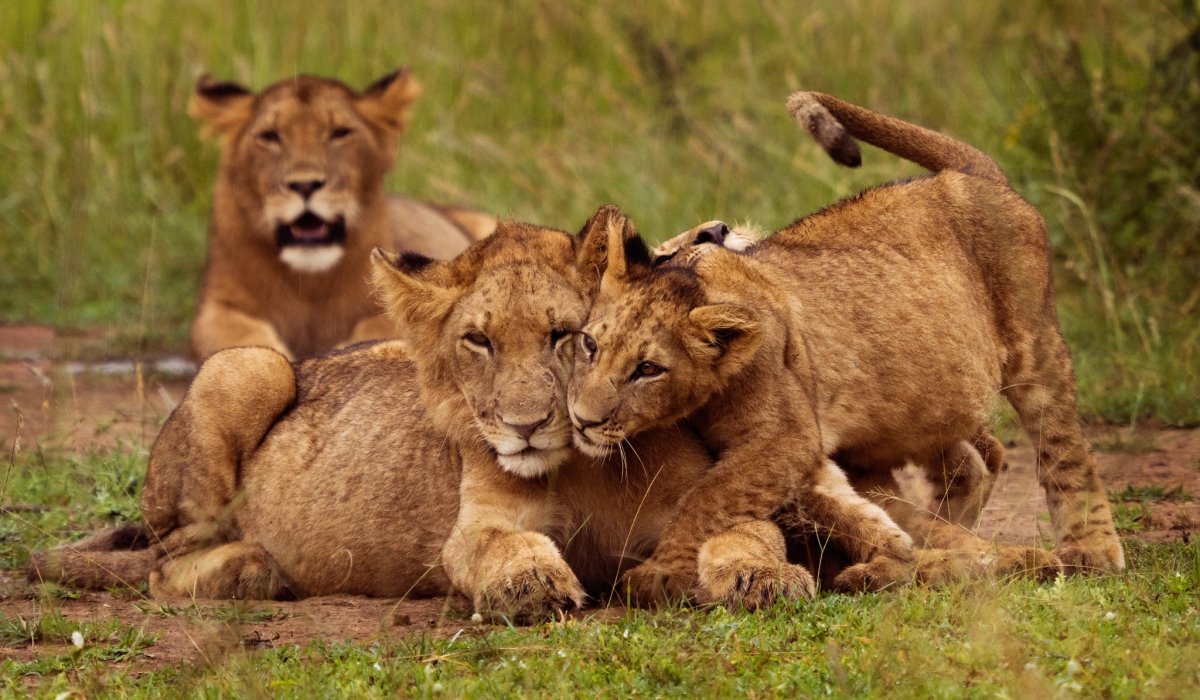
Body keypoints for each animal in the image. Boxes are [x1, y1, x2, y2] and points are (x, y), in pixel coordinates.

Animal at [27, 213, 812, 619]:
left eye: (563, 336)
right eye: (479, 341)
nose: (526, 426)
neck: (588, 468)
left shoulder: (701, 502)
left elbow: (745, 532)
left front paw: (765, 578)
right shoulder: (475, 528)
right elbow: (500, 547)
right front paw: (532, 585)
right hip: (249, 363)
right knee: (164, 566)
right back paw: (253, 567)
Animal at [189, 68, 496, 362]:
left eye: (340, 133)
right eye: (269, 136)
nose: (305, 185)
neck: (309, 284)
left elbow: (378, 328)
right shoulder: (217, 306)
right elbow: (234, 335)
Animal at [568, 92, 1123, 603]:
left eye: (647, 369)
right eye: (588, 345)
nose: (582, 420)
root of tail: (969, 175)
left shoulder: (787, 437)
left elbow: (708, 499)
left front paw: (661, 572)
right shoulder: (815, 457)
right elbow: (852, 511)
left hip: (1034, 346)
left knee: (1063, 450)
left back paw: (1090, 551)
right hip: (923, 400)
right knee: (973, 458)